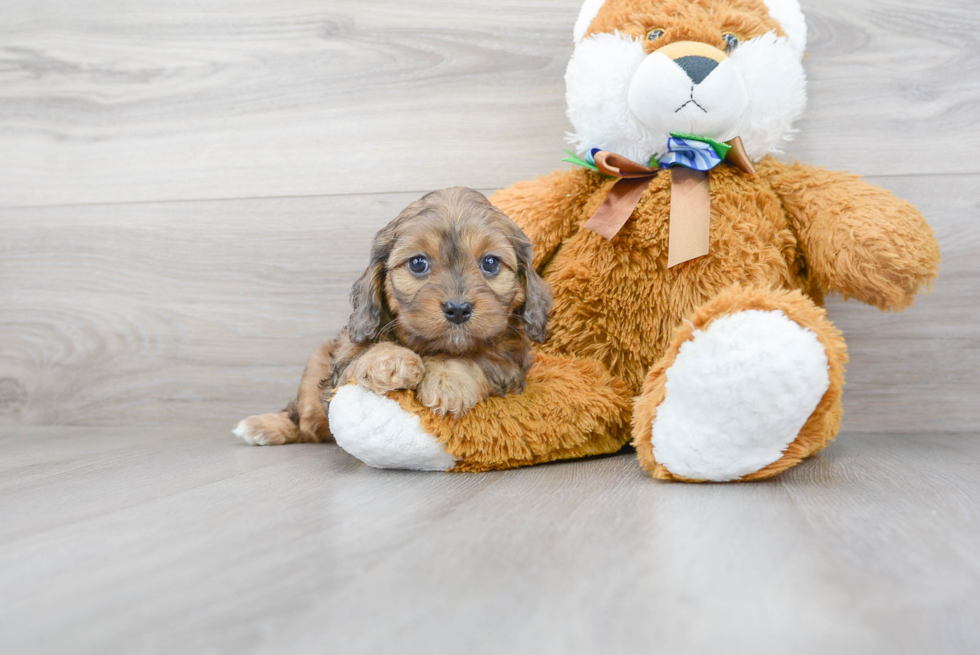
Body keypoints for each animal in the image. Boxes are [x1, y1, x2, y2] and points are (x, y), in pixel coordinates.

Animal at [232, 187, 552, 448]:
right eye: (418, 263)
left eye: (490, 263)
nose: (458, 309)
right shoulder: (342, 367)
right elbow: (364, 354)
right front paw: (390, 360)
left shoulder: (509, 366)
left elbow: (476, 359)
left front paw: (447, 378)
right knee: (305, 423)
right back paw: (263, 426)